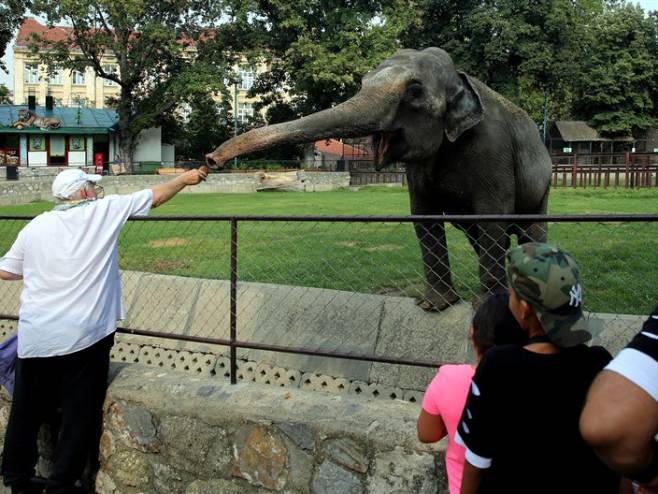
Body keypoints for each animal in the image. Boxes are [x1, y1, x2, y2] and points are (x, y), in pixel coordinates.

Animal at [206, 46, 552, 308]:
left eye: (414, 91)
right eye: (363, 81)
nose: (211, 160)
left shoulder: (493, 151)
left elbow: (491, 216)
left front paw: (486, 305)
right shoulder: (418, 169)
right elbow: (423, 217)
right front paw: (434, 305)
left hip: (542, 185)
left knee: (528, 232)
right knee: (480, 237)